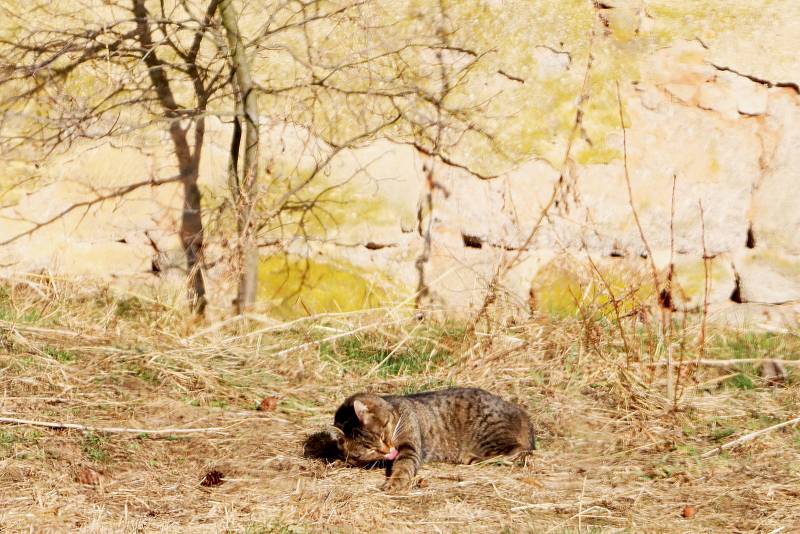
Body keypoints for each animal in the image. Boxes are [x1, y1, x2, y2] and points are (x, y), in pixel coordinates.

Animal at [332, 390, 536, 494]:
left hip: (490, 433)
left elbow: (403, 465)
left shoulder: (410, 446)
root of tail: (521, 413)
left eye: (382, 435)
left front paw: (394, 482)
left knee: (519, 449)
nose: (389, 451)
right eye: (369, 450)